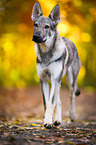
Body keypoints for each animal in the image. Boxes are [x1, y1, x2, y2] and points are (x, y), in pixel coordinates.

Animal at [31, 0, 80, 128]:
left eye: (46, 26)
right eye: (36, 25)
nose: (35, 36)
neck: (46, 54)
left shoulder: (55, 79)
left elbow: (51, 103)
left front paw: (48, 121)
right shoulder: (43, 80)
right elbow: (47, 103)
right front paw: (50, 120)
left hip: (70, 81)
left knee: (71, 96)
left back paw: (72, 115)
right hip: (57, 82)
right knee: (59, 101)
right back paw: (57, 120)